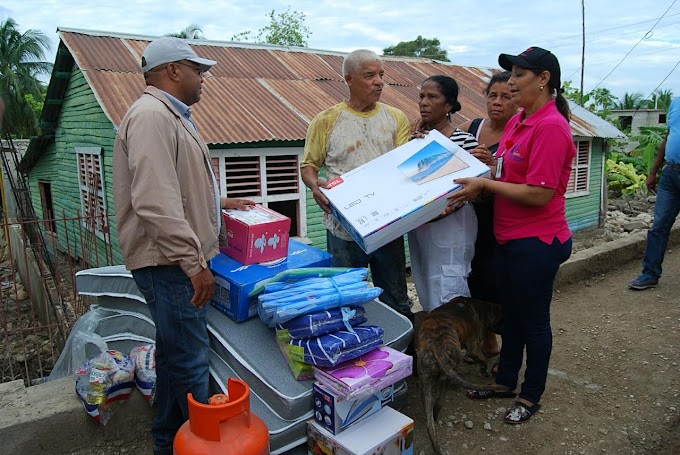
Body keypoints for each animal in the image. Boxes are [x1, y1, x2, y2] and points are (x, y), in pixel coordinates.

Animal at [418, 298, 508, 454]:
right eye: (503, 319)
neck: (483, 307)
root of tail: (435, 346)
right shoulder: (472, 347)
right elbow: (483, 358)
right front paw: (484, 369)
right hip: (447, 374)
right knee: (439, 402)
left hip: (426, 383)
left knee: (430, 422)